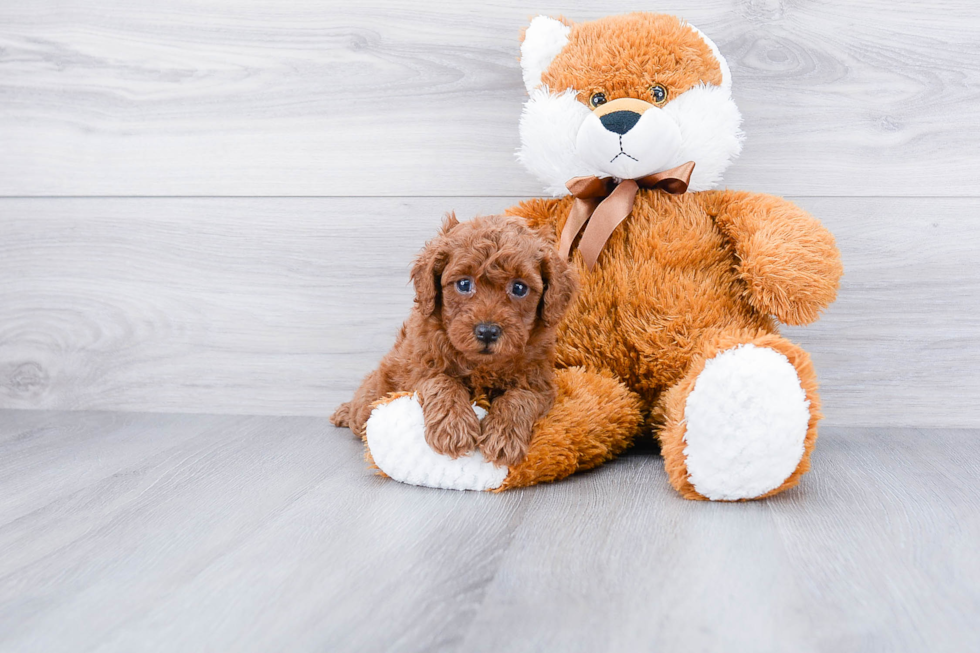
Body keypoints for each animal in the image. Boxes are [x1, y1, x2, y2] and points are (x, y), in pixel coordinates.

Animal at [332, 213, 576, 464]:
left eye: (519, 288)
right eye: (464, 284)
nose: (487, 332)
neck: (483, 366)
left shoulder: (540, 383)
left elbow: (521, 397)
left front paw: (503, 435)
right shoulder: (418, 370)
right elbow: (442, 381)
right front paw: (453, 427)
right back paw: (345, 411)